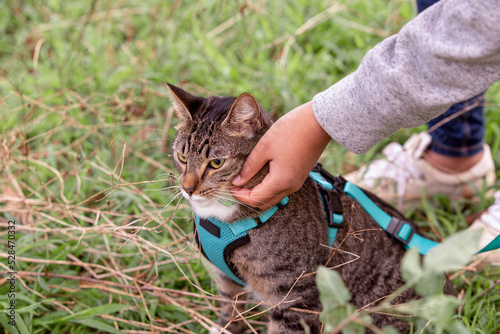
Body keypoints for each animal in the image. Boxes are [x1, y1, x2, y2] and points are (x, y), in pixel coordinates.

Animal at [168, 83, 450, 332]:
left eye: (216, 163)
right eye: (181, 157)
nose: (188, 188)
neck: (222, 219)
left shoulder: (297, 295)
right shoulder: (227, 281)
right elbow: (230, 310)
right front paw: (225, 326)